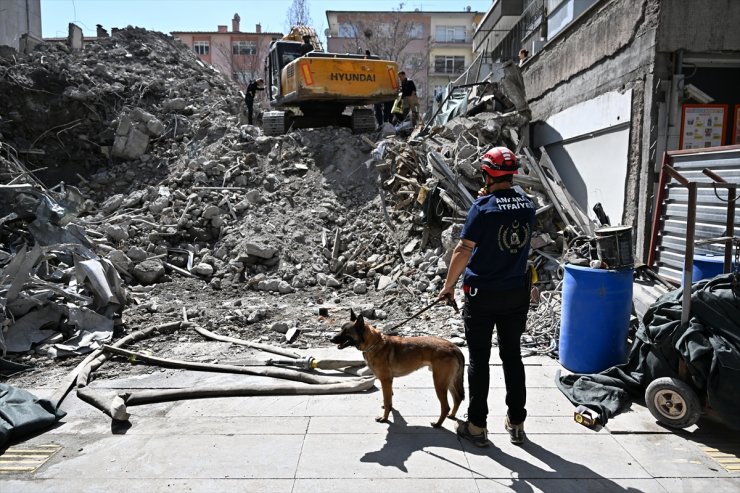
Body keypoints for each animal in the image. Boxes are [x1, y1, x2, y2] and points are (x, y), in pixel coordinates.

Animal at [332, 310, 466, 424]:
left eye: (346, 332)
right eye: (341, 329)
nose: (331, 339)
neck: (374, 344)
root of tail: (454, 347)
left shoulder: (385, 381)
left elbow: (387, 401)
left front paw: (384, 418)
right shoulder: (388, 382)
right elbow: (389, 400)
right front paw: (388, 410)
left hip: (439, 383)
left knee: (446, 406)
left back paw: (438, 424)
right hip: (449, 381)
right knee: (457, 398)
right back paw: (452, 416)